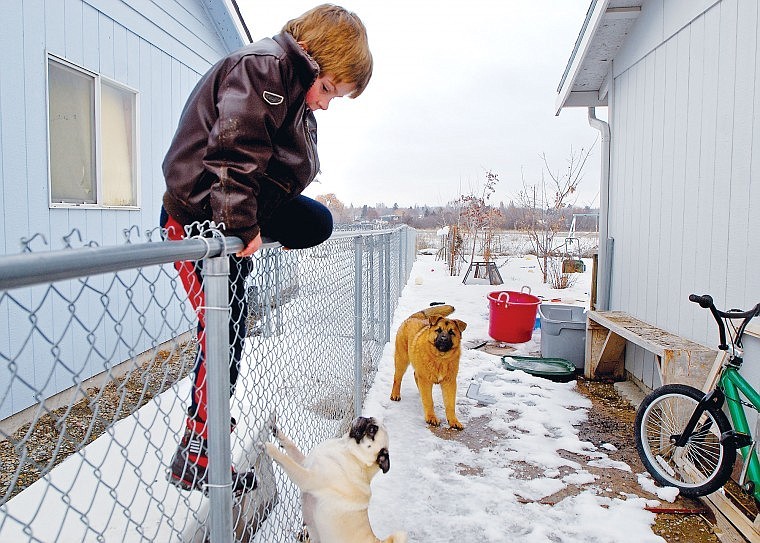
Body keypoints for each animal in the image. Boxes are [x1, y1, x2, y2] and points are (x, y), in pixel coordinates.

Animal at [268, 418, 410, 540]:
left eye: (372, 430)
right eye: (370, 419)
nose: (363, 418)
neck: (347, 449)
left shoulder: (307, 478)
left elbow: (287, 461)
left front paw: (270, 449)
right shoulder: (304, 463)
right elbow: (291, 445)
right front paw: (275, 430)